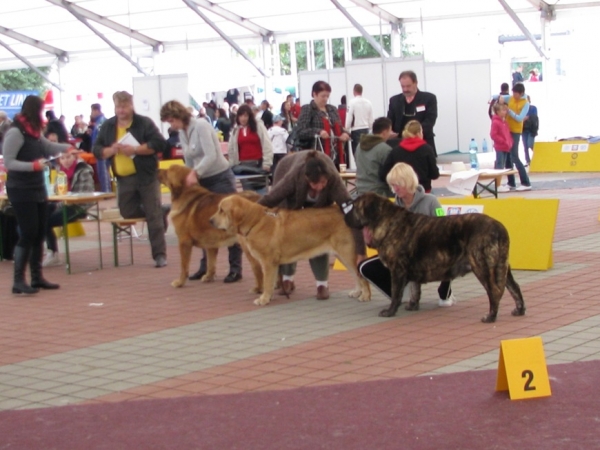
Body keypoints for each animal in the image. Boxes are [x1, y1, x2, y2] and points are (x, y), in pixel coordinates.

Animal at [210, 196, 370, 306]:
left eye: (222, 210)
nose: (210, 220)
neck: (255, 222)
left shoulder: (268, 263)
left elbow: (267, 282)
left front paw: (263, 299)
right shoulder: (272, 264)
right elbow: (271, 281)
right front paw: (269, 297)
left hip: (347, 254)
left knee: (361, 276)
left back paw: (366, 295)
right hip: (342, 256)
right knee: (355, 275)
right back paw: (357, 292)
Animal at [342, 192, 524, 322]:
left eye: (355, 206)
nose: (344, 217)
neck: (386, 221)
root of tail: (498, 228)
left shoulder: (397, 270)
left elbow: (396, 293)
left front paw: (390, 311)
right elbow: (415, 290)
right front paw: (413, 305)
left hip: (483, 266)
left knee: (494, 291)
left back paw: (491, 316)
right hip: (502, 266)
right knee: (514, 287)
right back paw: (520, 309)